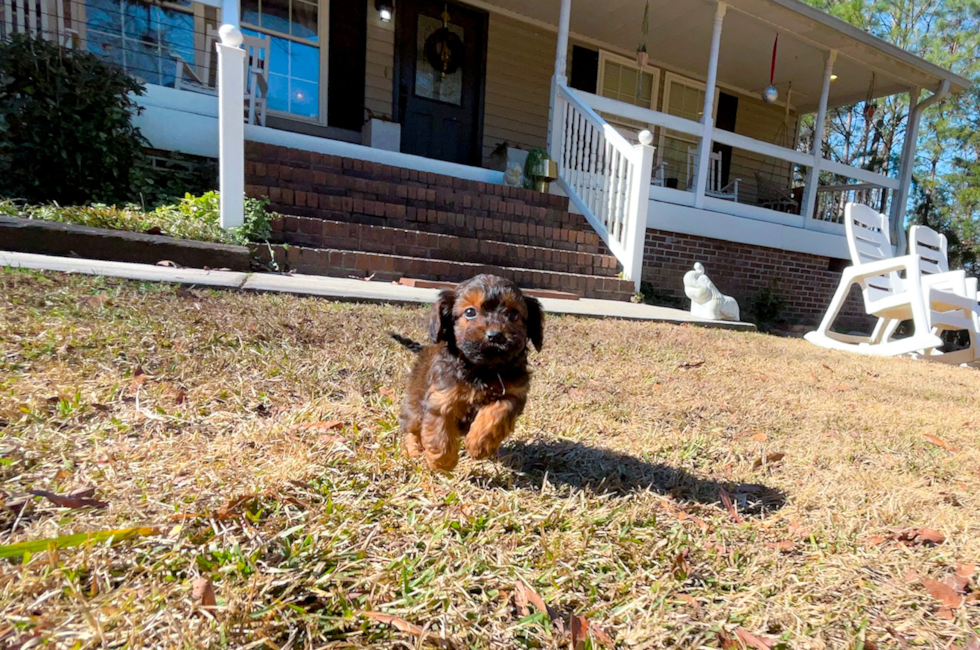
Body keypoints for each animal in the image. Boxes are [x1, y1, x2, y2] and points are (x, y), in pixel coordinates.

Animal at [390, 274, 544, 470]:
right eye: (470, 312)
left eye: (514, 314)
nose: (495, 335)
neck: (483, 370)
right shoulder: (441, 396)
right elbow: (439, 429)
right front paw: (443, 461)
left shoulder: (513, 394)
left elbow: (497, 412)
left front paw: (480, 444)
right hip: (415, 402)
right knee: (411, 428)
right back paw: (414, 451)